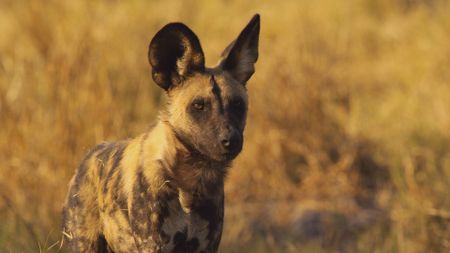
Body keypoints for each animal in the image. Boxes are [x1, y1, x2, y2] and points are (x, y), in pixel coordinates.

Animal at [62, 14, 260, 252]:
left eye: (237, 104)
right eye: (199, 106)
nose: (231, 139)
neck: (191, 180)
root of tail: (90, 155)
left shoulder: (206, 246)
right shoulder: (153, 244)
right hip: (83, 243)